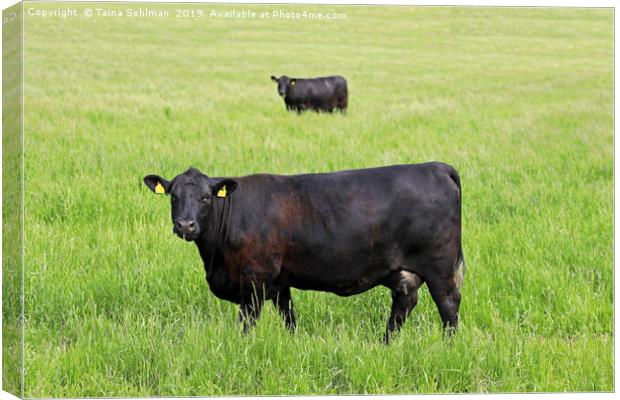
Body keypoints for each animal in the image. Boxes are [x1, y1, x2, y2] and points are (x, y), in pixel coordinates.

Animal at [144, 161, 464, 342]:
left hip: (439, 267)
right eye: (173, 196)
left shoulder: (255, 278)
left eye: (206, 197)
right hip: (404, 272)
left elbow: (248, 321)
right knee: (403, 303)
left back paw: (448, 346)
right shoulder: (279, 282)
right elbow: (289, 317)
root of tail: (437, 167)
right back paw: (385, 343)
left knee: (448, 305)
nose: (185, 224)